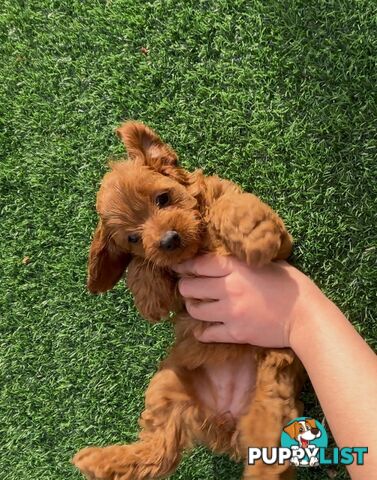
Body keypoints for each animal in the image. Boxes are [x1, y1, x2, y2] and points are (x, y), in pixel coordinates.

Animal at [72, 122, 304, 478]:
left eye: (163, 198)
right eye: (133, 238)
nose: (169, 240)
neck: (199, 245)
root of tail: (225, 420)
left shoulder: (280, 246)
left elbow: (230, 206)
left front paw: (252, 234)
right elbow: (145, 269)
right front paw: (149, 291)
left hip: (274, 382)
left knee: (269, 441)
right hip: (167, 387)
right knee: (158, 452)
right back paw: (98, 461)